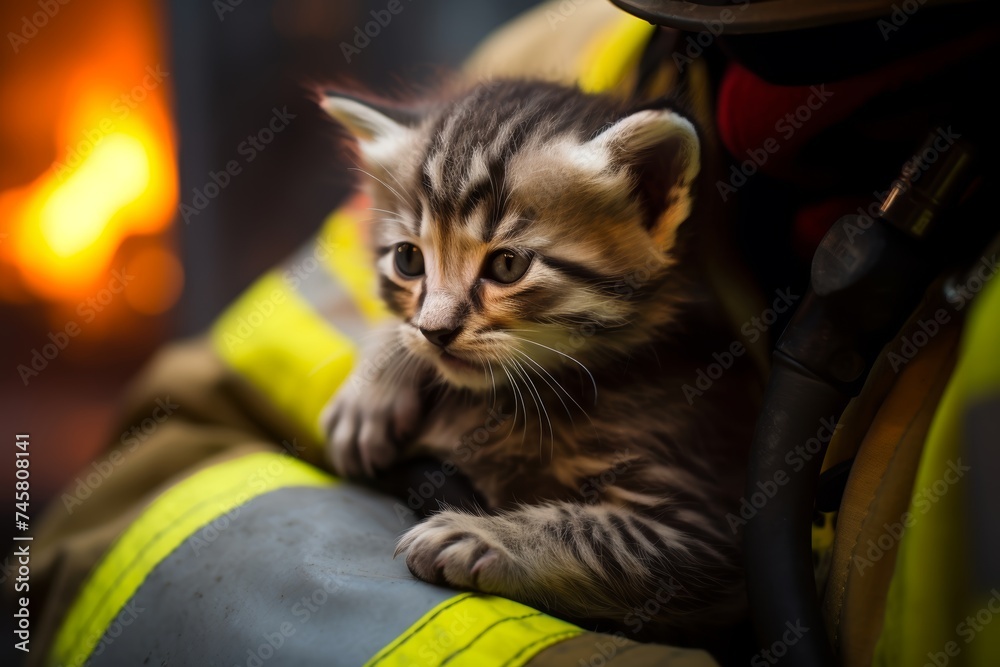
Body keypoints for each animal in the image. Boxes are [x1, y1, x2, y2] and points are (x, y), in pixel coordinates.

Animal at [320, 78, 756, 636]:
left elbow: (598, 537)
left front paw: (483, 537)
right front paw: (373, 388)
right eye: (409, 259)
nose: (435, 331)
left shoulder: (707, 529)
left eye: (507, 265)